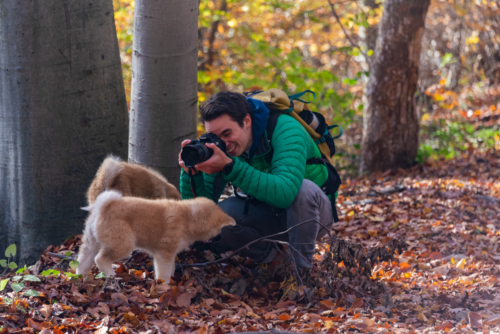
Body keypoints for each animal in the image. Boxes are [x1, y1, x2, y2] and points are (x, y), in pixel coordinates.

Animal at [76, 189, 236, 280]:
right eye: (219, 230)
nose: (220, 238)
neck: (188, 218)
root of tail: (104, 207)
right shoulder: (164, 253)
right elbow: (164, 272)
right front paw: (164, 286)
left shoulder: (170, 253)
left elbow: (171, 268)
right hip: (123, 244)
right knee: (100, 259)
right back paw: (111, 275)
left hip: (92, 243)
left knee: (83, 261)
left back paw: (79, 277)